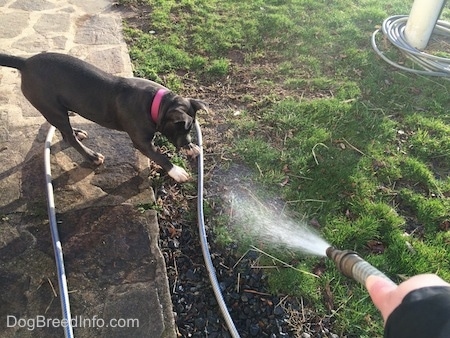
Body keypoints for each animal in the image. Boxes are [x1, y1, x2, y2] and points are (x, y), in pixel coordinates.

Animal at [0, 51, 206, 182]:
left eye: (190, 128)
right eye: (182, 128)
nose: (186, 143)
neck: (157, 104)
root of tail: (25, 62)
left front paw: (191, 148)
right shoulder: (142, 143)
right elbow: (160, 157)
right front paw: (177, 171)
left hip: (56, 109)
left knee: (66, 132)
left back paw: (78, 132)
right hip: (52, 108)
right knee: (69, 137)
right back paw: (92, 157)